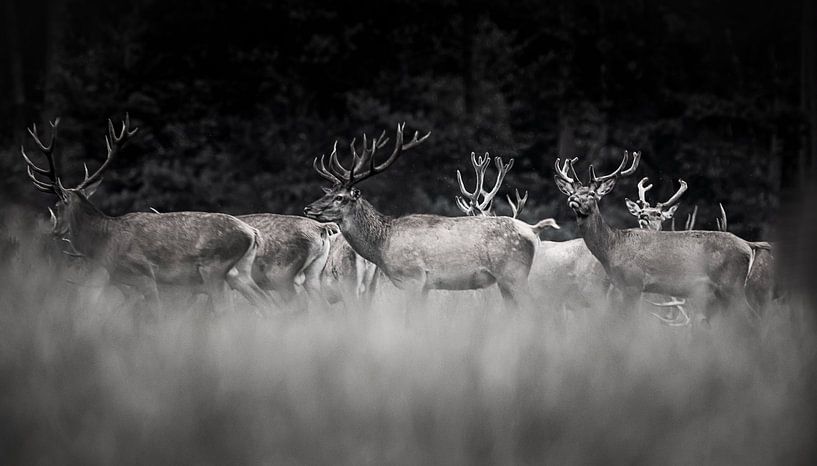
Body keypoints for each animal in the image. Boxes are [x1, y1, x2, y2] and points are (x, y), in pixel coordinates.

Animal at [20, 115, 271, 316]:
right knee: (267, 304)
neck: (106, 243)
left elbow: (155, 313)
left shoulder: (143, 274)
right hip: (240, 273)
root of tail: (253, 233)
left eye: (57, 205)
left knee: (227, 310)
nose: (53, 231)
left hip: (214, 269)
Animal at [303, 123, 559, 309]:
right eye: (328, 192)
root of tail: (533, 230)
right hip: (507, 280)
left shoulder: (413, 278)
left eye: (340, 197)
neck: (383, 245)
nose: (308, 209)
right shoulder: (425, 286)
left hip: (513, 273)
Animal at [553, 151, 772, 324]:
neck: (612, 247)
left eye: (591, 194)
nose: (572, 199)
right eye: (573, 190)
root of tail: (749, 245)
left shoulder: (633, 282)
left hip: (731, 284)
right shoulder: (623, 287)